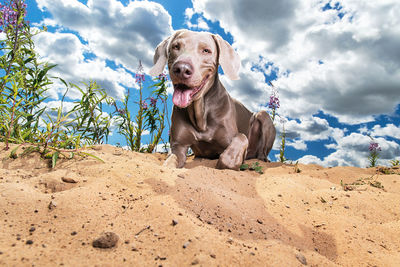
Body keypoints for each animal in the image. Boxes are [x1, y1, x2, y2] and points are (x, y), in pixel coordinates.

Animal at [148, 29, 276, 172]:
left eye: (206, 50)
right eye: (176, 47)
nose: (181, 69)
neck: (201, 115)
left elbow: (241, 137)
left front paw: (229, 160)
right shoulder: (178, 146)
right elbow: (170, 161)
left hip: (263, 115)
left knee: (262, 152)